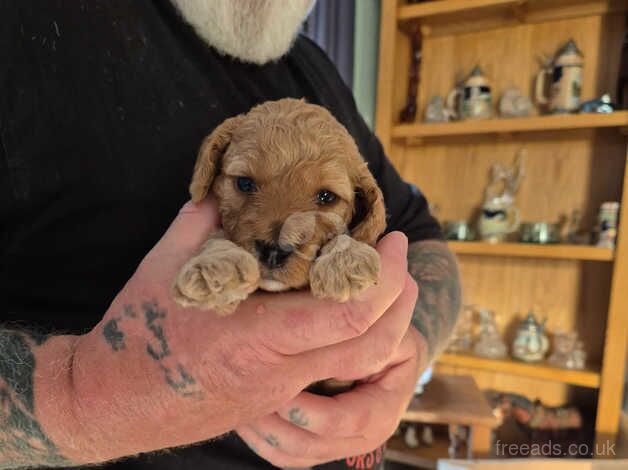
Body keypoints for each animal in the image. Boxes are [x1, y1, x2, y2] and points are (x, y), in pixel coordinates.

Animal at [173, 98, 388, 316]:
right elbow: (216, 235)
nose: (274, 253)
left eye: (327, 196)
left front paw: (344, 259)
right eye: (244, 183)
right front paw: (216, 266)